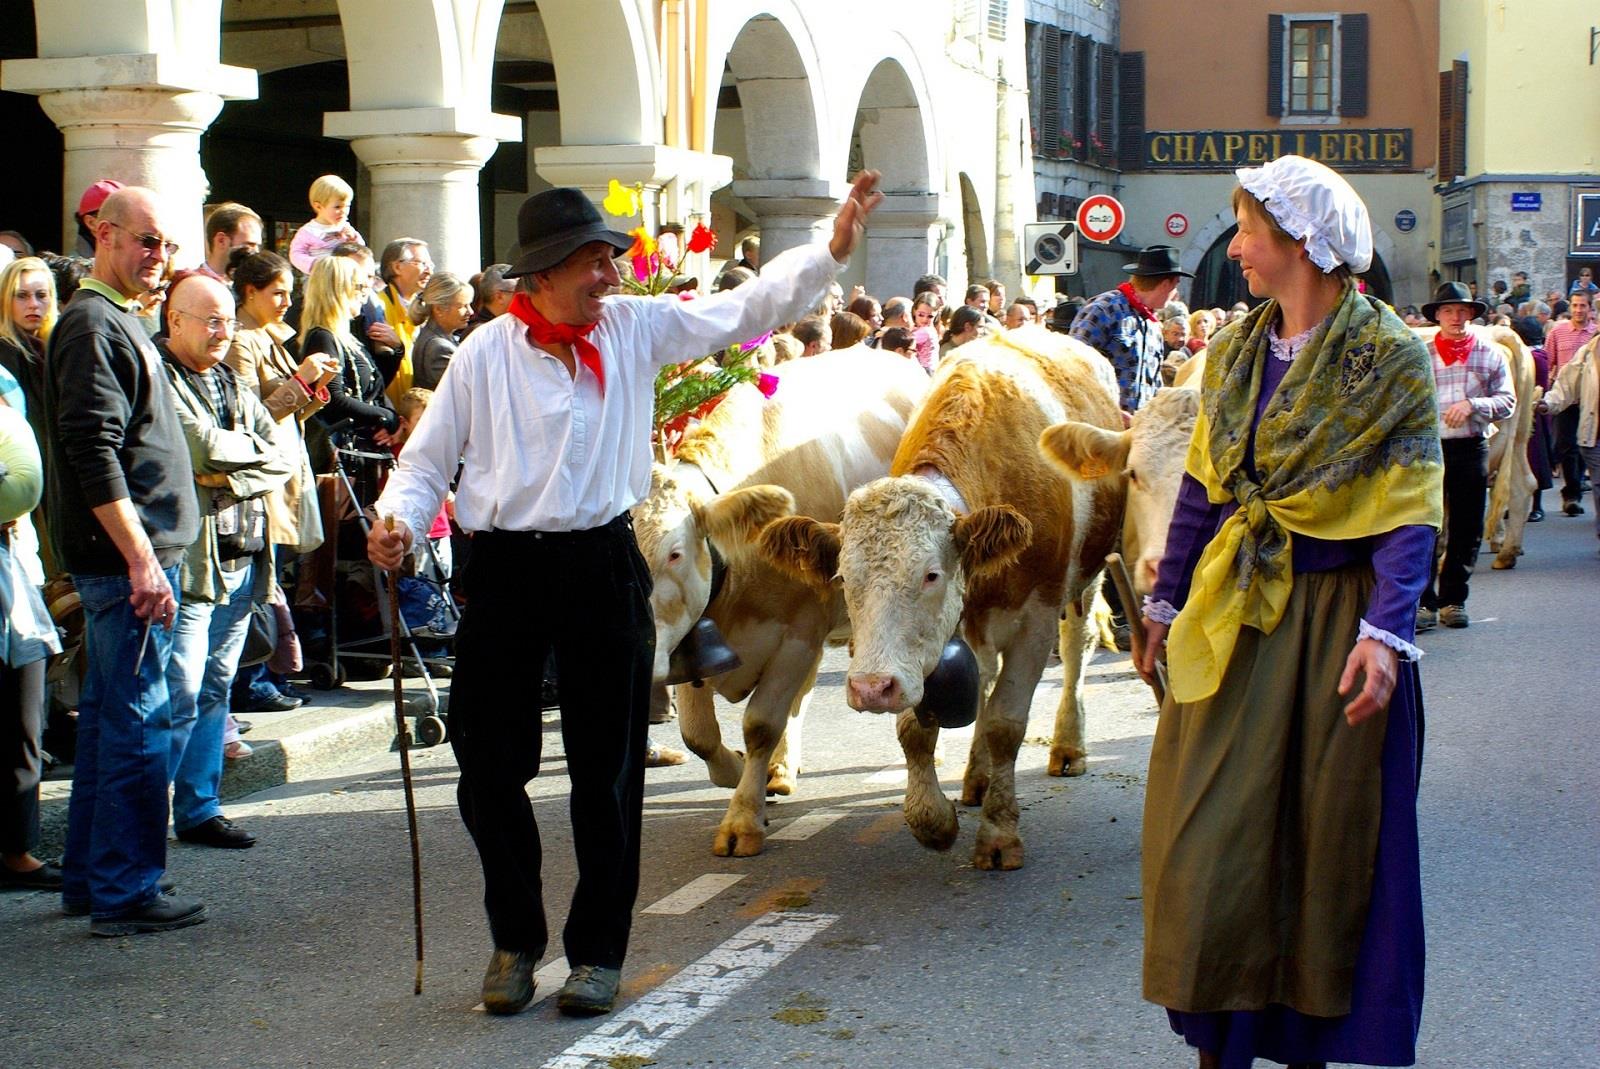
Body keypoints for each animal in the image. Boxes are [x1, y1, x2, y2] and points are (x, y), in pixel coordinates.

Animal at [761, 328, 1126, 870]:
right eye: (845, 579)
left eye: (931, 575)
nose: (870, 688)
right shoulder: (925, 649)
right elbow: (917, 728)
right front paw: (933, 821)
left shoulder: (1035, 618)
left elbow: (1005, 724)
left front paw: (999, 833)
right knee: (986, 678)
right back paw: (976, 777)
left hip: (1086, 578)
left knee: (1076, 649)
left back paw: (1067, 747)